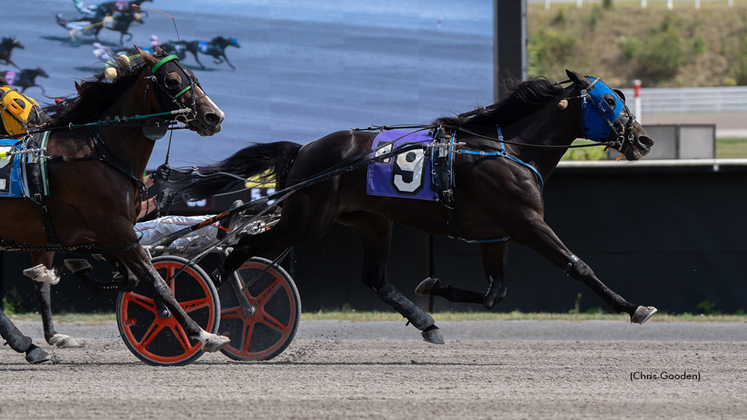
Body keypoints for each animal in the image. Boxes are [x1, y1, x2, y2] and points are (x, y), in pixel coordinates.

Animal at [0, 45, 228, 360]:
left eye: (194, 77)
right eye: (172, 81)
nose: (214, 116)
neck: (100, 152)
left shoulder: (106, 235)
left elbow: (133, 278)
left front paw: (75, 269)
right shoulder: (116, 228)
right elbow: (155, 281)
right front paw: (202, 334)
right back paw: (24, 342)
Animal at [174, 69, 656, 344]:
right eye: (609, 100)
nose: (644, 139)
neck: (509, 149)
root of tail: (304, 150)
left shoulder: (495, 233)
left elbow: (494, 293)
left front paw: (434, 285)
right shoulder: (527, 223)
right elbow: (579, 266)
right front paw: (634, 307)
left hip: (370, 222)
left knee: (374, 277)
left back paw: (427, 323)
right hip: (306, 220)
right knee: (237, 251)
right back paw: (216, 313)